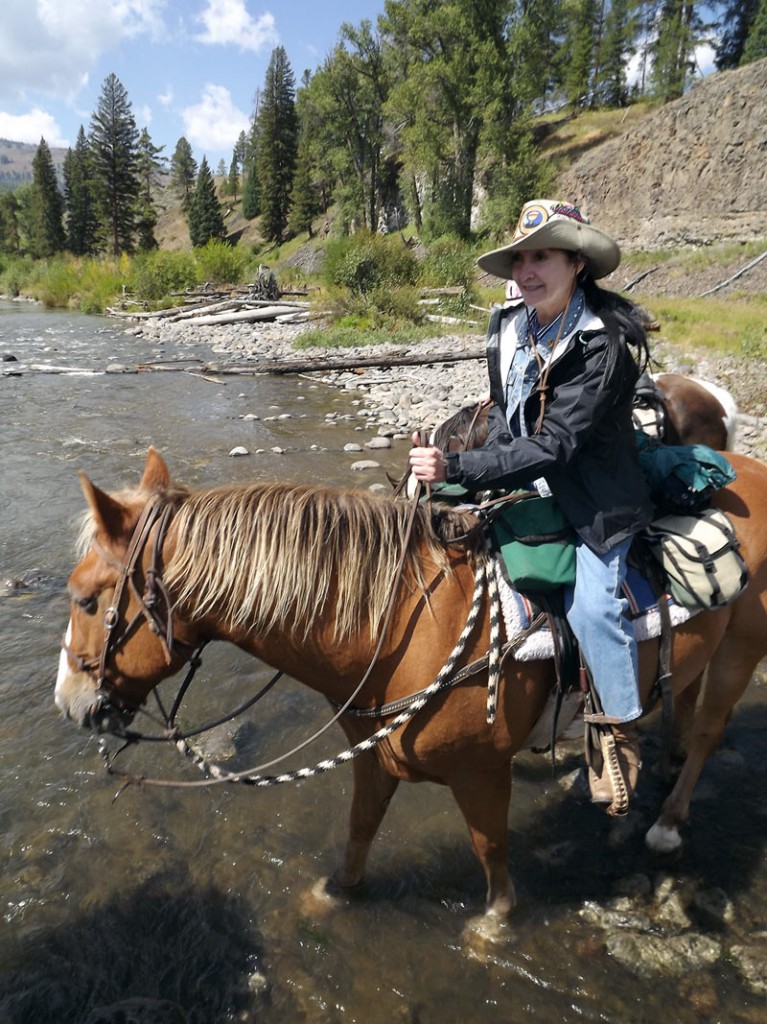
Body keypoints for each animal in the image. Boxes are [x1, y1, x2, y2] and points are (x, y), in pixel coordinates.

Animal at [55, 452, 765, 917]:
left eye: (87, 600)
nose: (70, 704)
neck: (401, 624)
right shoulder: (376, 757)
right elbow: (358, 833)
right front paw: (333, 896)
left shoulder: (482, 773)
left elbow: (491, 852)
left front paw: (494, 926)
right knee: (681, 706)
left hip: (740, 649)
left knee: (709, 730)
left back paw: (667, 821)